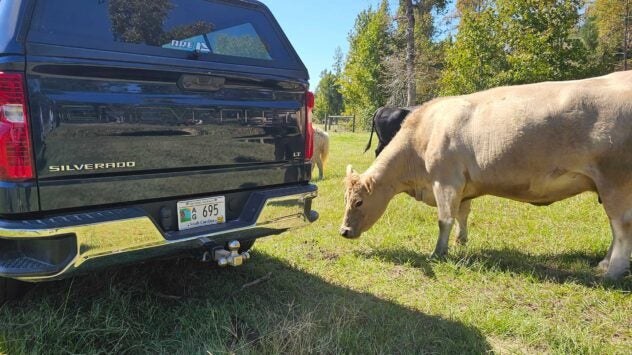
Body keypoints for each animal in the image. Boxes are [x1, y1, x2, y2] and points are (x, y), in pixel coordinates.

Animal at [340, 70, 632, 280]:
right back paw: (603, 263)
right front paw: (461, 241)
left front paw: (439, 252)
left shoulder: (445, 181)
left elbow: (444, 219)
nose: (343, 231)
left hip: (615, 180)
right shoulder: (463, 186)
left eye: (359, 201)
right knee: (615, 227)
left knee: (621, 225)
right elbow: (462, 214)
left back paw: (613, 271)